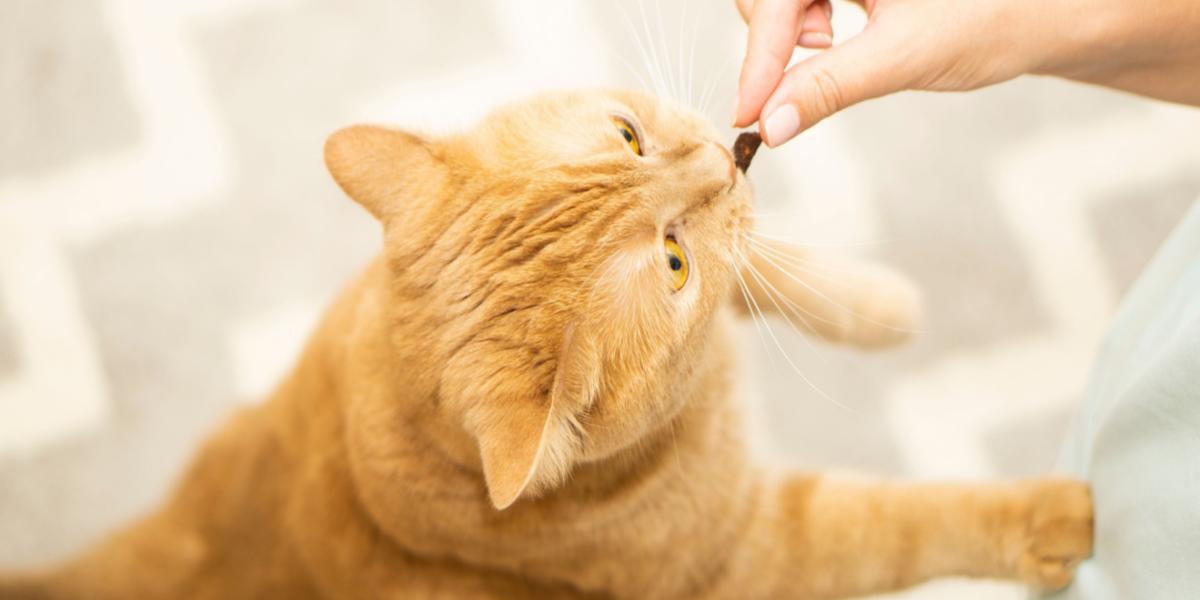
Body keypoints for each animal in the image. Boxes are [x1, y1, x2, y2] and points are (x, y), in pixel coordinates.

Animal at [0, 90, 1089, 600]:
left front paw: (877, 304)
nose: (726, 155)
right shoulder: (753, 556)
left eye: (629, 136)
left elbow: (776, 271)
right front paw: (1054, 516)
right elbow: (903, 524)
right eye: (672, 262)